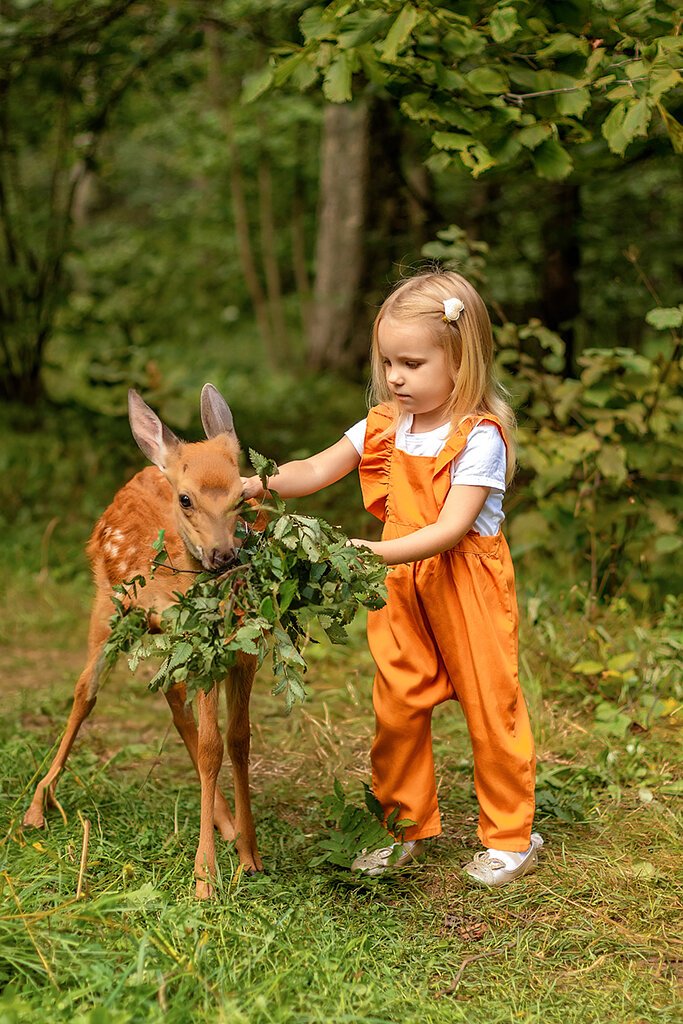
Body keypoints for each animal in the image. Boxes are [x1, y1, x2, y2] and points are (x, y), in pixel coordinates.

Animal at [23, 383, 261, 898]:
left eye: (242, 494)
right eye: (186, 499)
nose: (223, 555)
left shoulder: (242, 655)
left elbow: (238, 740)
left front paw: (249, 855)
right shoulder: (203, 653)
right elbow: (212, 746)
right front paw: (205, 877)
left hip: (166, 639)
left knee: (173, 702)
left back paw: (225, 823)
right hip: (107, 608)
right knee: (84, 690)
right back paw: (36, 806)